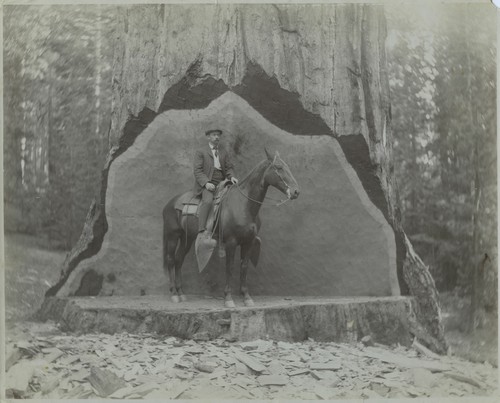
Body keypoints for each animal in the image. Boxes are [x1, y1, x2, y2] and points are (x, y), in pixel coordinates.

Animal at [162, 150, 298, 308]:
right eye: (279, 167)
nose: (296, 191)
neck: (243, 204)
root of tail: (170, 203)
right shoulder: (231, 242)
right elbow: (230, 267)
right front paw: (228, 298)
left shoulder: (248, 242)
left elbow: (244, 266)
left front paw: (246, 296)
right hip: (172, 236)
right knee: (171, 259)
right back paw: (174, 294)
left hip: (187, 238)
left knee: (179, 259)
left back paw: (181, 293)